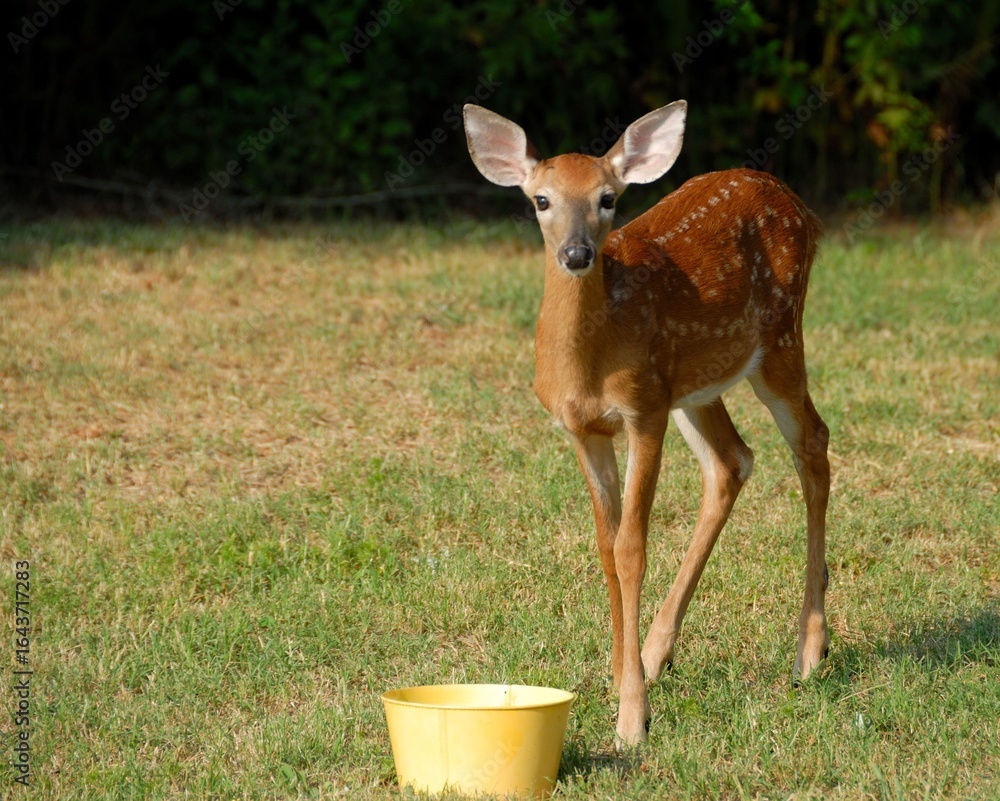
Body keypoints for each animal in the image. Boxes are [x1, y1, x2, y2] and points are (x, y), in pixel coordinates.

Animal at [462, 100, 830, 747]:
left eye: (608, 198)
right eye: (541, 199)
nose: (577, 254)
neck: (589, 365)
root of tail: (794, 199)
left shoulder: (643, 412)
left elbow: (632, 546)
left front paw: (631, 718)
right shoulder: (583, 430)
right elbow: (605, 546)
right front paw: (619, 675)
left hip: (779, 341)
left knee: (813, 444)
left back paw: (810, 651)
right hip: (695, 384)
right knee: (733, 460)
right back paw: (660, 652)